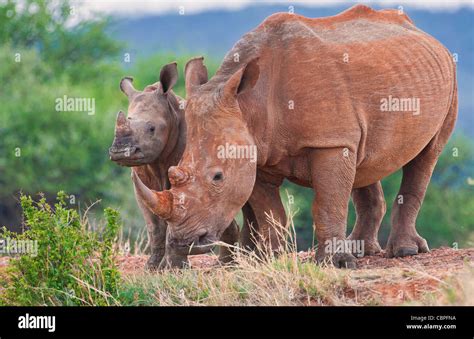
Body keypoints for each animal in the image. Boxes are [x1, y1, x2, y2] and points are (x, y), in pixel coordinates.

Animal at [109, 63, 239, 270]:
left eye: (152, 128)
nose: (120, 152)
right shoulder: (143, 182)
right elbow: (155, 226)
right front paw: (153, 267)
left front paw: (173, 267)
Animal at [132, 5, 456, 270]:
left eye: (218, 177)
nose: (184, 241)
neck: (250, 104)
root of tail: (424, 34)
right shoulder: (256, 153)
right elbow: (269, 212)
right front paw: (270, 260)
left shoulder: (329, 142)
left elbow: (327, 203)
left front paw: (335, 263)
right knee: (364, 159)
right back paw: (361, 251)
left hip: (447, 79)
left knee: (428, 154)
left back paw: (403, 252)